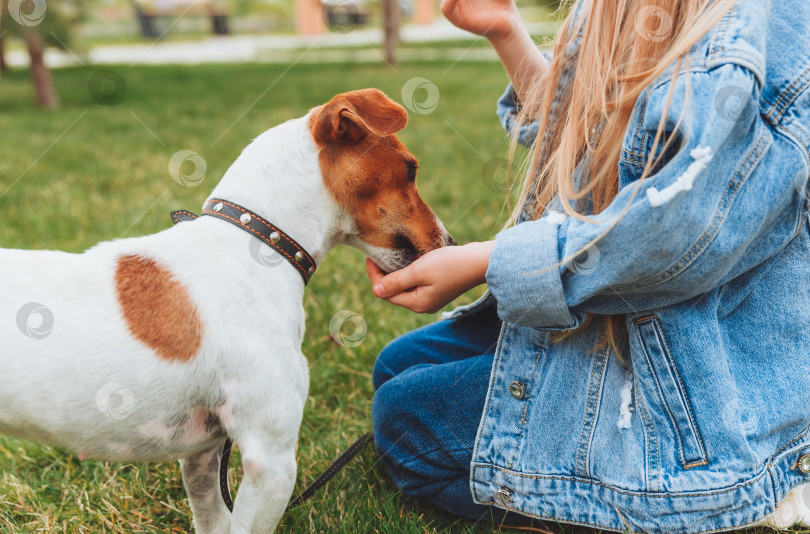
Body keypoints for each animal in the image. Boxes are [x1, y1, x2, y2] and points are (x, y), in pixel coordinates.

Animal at [0, 90, 454, 532]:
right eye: (411, 170)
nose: (451, 244)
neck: (257, 241)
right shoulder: (271, 461)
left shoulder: (204, 452)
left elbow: (213, 519)